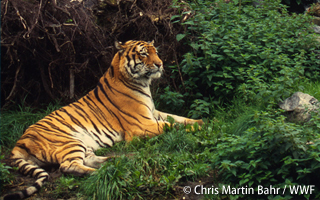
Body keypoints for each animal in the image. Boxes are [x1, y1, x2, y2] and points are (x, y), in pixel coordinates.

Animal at [3, 39, 204, 199]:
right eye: (144, 53)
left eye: (156, 52)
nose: (160, 64)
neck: (141, 82)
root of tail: (19, 143)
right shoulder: (141, 124)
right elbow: (170, 125)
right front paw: (198, 129)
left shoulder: (153, 113)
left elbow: (177, 118)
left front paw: (201, 121)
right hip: (69, 141)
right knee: (68, 166)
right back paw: (104, 174)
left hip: (83, 144)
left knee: (88, 159)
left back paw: (114, 163)